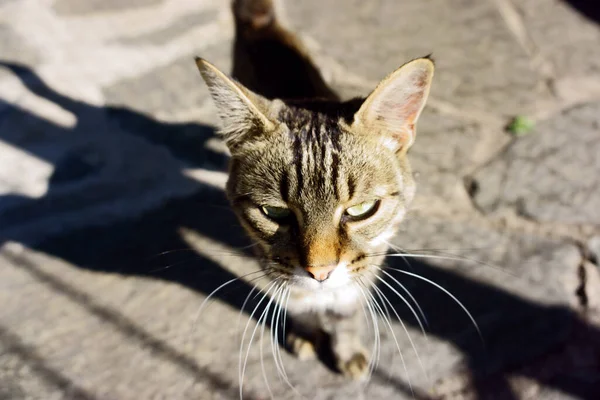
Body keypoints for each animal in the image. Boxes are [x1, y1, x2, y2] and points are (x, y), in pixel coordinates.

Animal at [195, 0, 434, 380]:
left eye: (361, 209)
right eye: (275, 212)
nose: (320, 273)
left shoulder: (367, 263)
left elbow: (347, 311)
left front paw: (346, 350)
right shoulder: (274, 263)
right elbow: (299, 301)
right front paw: (307, 332)